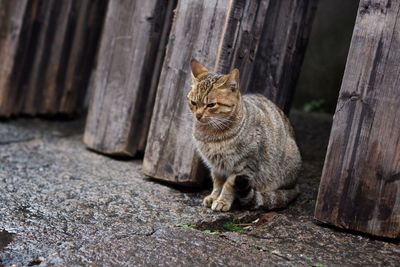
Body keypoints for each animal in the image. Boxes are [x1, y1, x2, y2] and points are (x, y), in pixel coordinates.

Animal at [189, 59, 302, 213]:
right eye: (193, 102)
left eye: (211, 105)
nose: (198, 115)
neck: (211, 133)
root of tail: (296, 185)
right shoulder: (216, 167)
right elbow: (217, 183)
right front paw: (213, 197)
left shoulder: (244, 166)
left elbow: (228, 185)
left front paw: (222, 201)